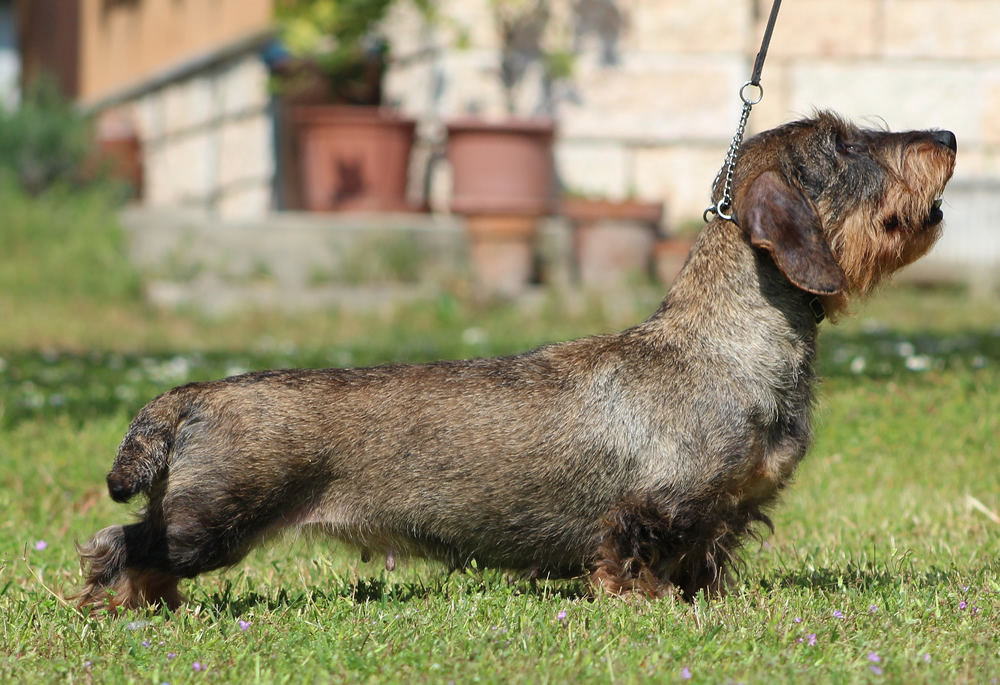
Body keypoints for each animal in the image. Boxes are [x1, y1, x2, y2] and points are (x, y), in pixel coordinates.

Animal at [74, 111, 956, 608]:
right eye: (843, 144)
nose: (948, 138)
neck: (722, 344)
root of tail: (194, 394)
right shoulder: (652, 507)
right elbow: (632, 557)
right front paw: (642, 606)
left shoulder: (723, 512)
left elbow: (705, 561)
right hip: (214, 522)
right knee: (126, 543)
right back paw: (118, 602)